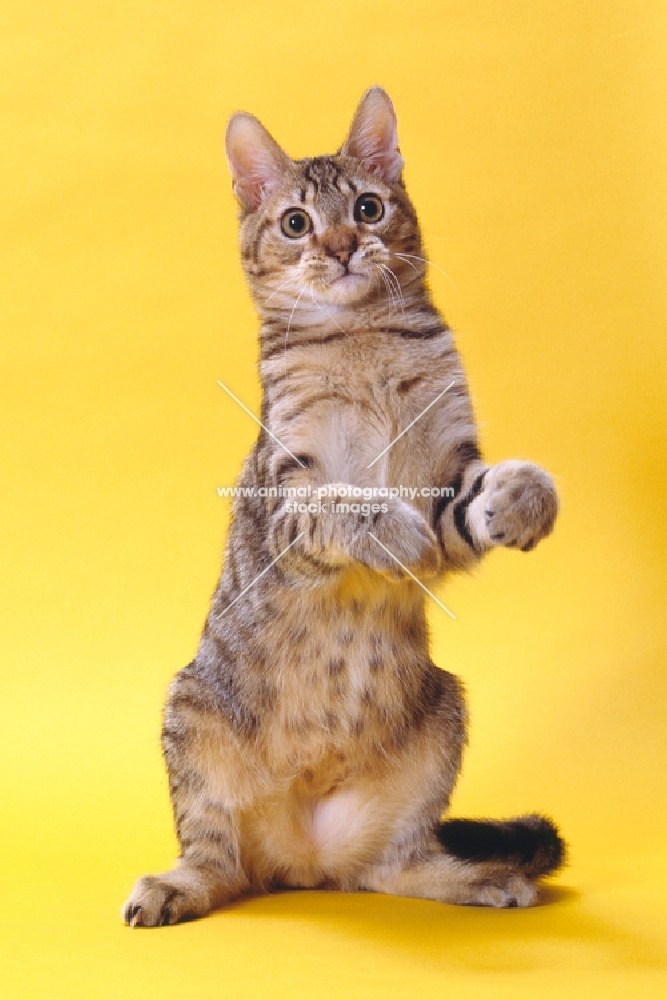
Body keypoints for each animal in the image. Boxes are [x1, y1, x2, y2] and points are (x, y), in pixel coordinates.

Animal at [121, 88, 564, 928]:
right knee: (217, 859)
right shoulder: (287, 493)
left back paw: (476, 879)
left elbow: (475, 499)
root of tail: (303, 860)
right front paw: (384, 526)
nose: (339, 248)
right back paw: (174, 887)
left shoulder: (445, 480)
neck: (362, 343)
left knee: (393, 866)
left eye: (366, 207)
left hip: (442, 718)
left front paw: (526, 497)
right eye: (296, 222)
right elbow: (342, 503)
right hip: (191, 719)